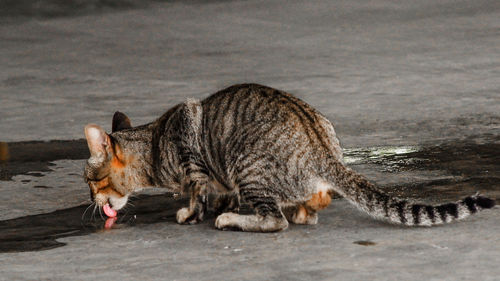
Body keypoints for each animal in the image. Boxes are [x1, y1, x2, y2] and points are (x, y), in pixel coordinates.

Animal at [84, 83, 494, 232]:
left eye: (90, 181)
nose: (91, 200)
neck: (154, 143)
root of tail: (324, 151)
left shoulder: (195, 163)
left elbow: (197, 194)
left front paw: (193, 212)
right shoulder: (218, 175)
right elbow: (218, 190)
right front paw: (220, 202)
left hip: (247, 162)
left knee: (273, 221)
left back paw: (236, 219)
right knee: (316, 202)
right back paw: (300, 210)